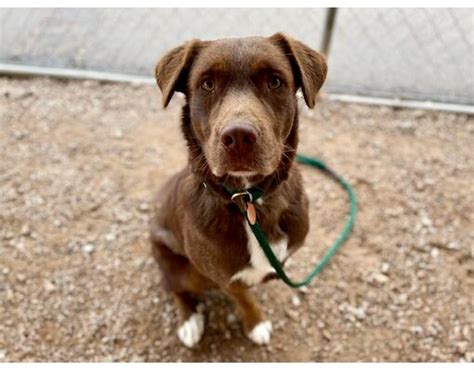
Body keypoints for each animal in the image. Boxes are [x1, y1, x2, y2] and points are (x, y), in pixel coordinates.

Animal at [150, 32, 328, 348]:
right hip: (181, 267)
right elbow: (243, 298)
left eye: (275, 81)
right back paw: (189, 321)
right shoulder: (225, 278)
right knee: (174, 287)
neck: (248, 200)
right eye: (207, 84)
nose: (239, 136)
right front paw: (256, 323)